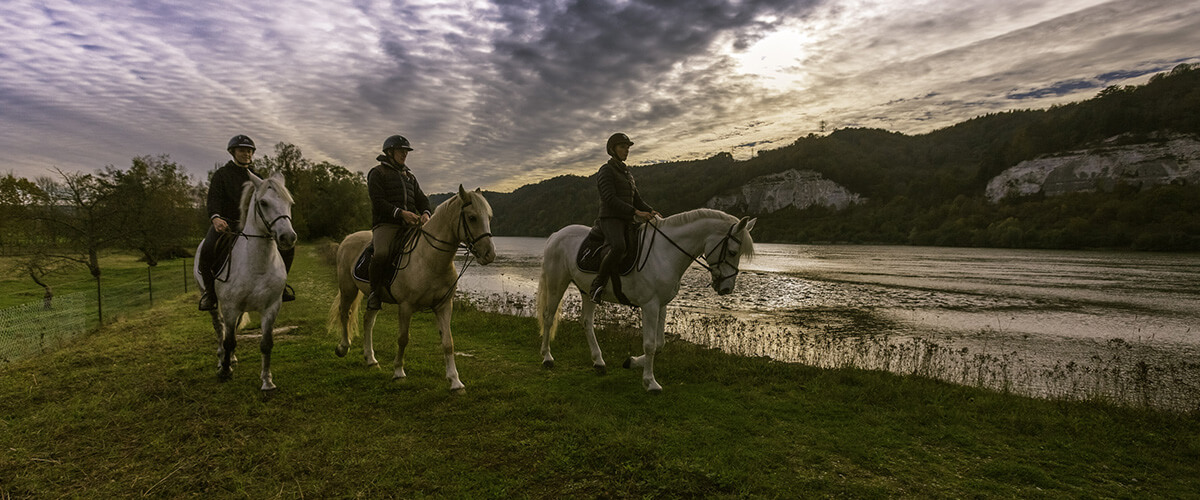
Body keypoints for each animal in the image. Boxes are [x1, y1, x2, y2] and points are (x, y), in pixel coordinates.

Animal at [193, 171, 296, 388]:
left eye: (289, 203)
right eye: (263, 203)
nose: (288, 237)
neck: (257, 266)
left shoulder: (271, 308)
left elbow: (266, 344)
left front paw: (267, 380)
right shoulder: (230, 307)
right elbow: (228, 339)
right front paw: (224, 372)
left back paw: (231, 358)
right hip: (212, 300)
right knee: (220, 328)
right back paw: (222, 359)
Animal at [331, 184, 494, 390]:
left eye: (489, 217)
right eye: (472, 217)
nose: (490, 254)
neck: (429, 259)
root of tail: (348, 238)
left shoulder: (444, 305)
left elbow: (448, 342)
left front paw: (455, 381)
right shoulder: (406, 306)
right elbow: (403, 338)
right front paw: (399, 372)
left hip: (374, 296)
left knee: (368, 320)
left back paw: (371, 359)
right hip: (348, 288)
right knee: (345, 313)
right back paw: (343, 347)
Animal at [540, 208, 753, 390]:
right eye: (732, 252)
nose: (727, 288)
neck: (665, 253)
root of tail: (556, 235)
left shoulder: (662, 305)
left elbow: (659, 344)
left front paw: (632, 362)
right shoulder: (649, 305)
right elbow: (650, 344)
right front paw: (650, 382)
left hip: (587, 292)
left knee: (586, 322)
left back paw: (598, 361)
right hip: (556, 284)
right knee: (548, 318)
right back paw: (547, 358)